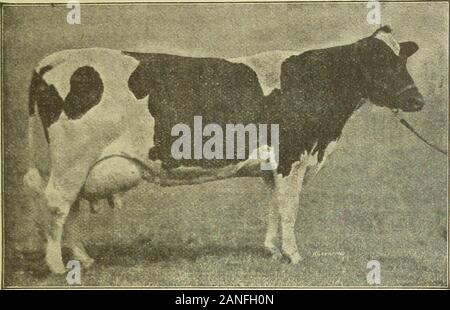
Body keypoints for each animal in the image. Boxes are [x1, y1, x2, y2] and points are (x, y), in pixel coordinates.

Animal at [23, 27, 426, 274]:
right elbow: (289, 210)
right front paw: (294, 255)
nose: (417, 101)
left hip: (80, 163)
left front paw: (272, 251)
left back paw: (83, 259)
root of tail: (52, 60)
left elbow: (273, 208)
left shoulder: (274, 165)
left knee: (72, 206)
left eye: (402, 60)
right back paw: (58, 266)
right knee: (57, 203)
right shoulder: (294, 158)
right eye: (379, 63)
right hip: (73, 158)